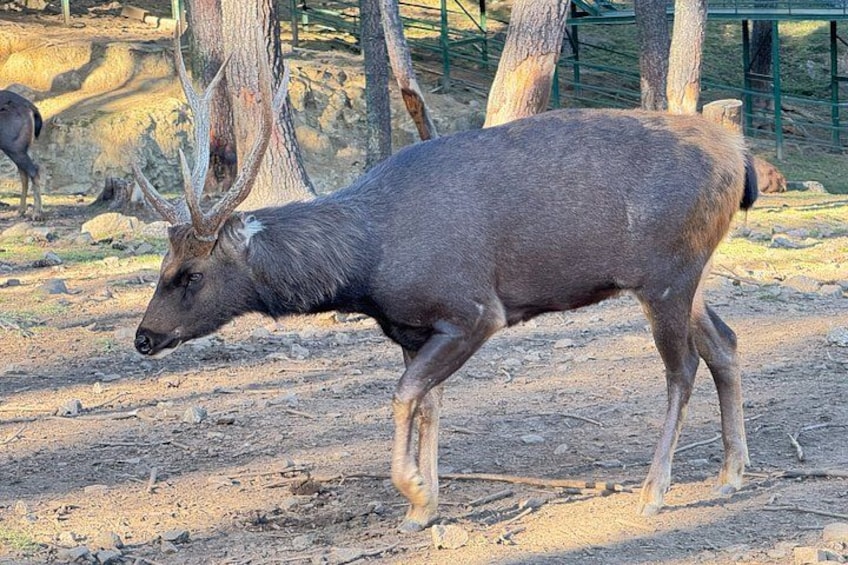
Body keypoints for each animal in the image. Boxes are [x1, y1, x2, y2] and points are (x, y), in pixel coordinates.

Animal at [0, 90, 43, 220]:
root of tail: (31, 108)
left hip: (13, 147)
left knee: (33, 170)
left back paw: (37, 213)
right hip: (19, 149)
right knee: (24, 174)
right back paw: (21, 211)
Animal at [132, 38, 758, 533]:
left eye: (190, 274)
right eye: (162, 266)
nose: (143, 337)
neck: (367, 266)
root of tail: (742, 157)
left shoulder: (474, 310)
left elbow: (403, 395)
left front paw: (412, 491)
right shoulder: (412, 330)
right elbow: (428, 403)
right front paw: (424, 506)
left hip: (666, 274)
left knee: (682, 369)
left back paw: (654, 492)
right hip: (691, 276)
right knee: (725, 342)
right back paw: (730, 475)